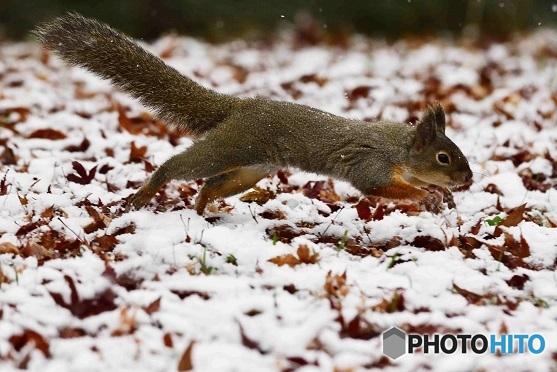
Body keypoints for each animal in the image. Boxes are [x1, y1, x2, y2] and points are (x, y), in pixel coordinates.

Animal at [32, 13, 472, 215]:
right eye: (444, 157)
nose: (468, 179)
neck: (399, 148)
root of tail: (240, 105)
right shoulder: (371, 165)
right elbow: (379, 186)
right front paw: (426, 194)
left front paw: (442, 194)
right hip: (228, 149)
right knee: (178, 166)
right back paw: (147, 193)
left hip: (250, 168)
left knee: (212, 185)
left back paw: (201, 210)